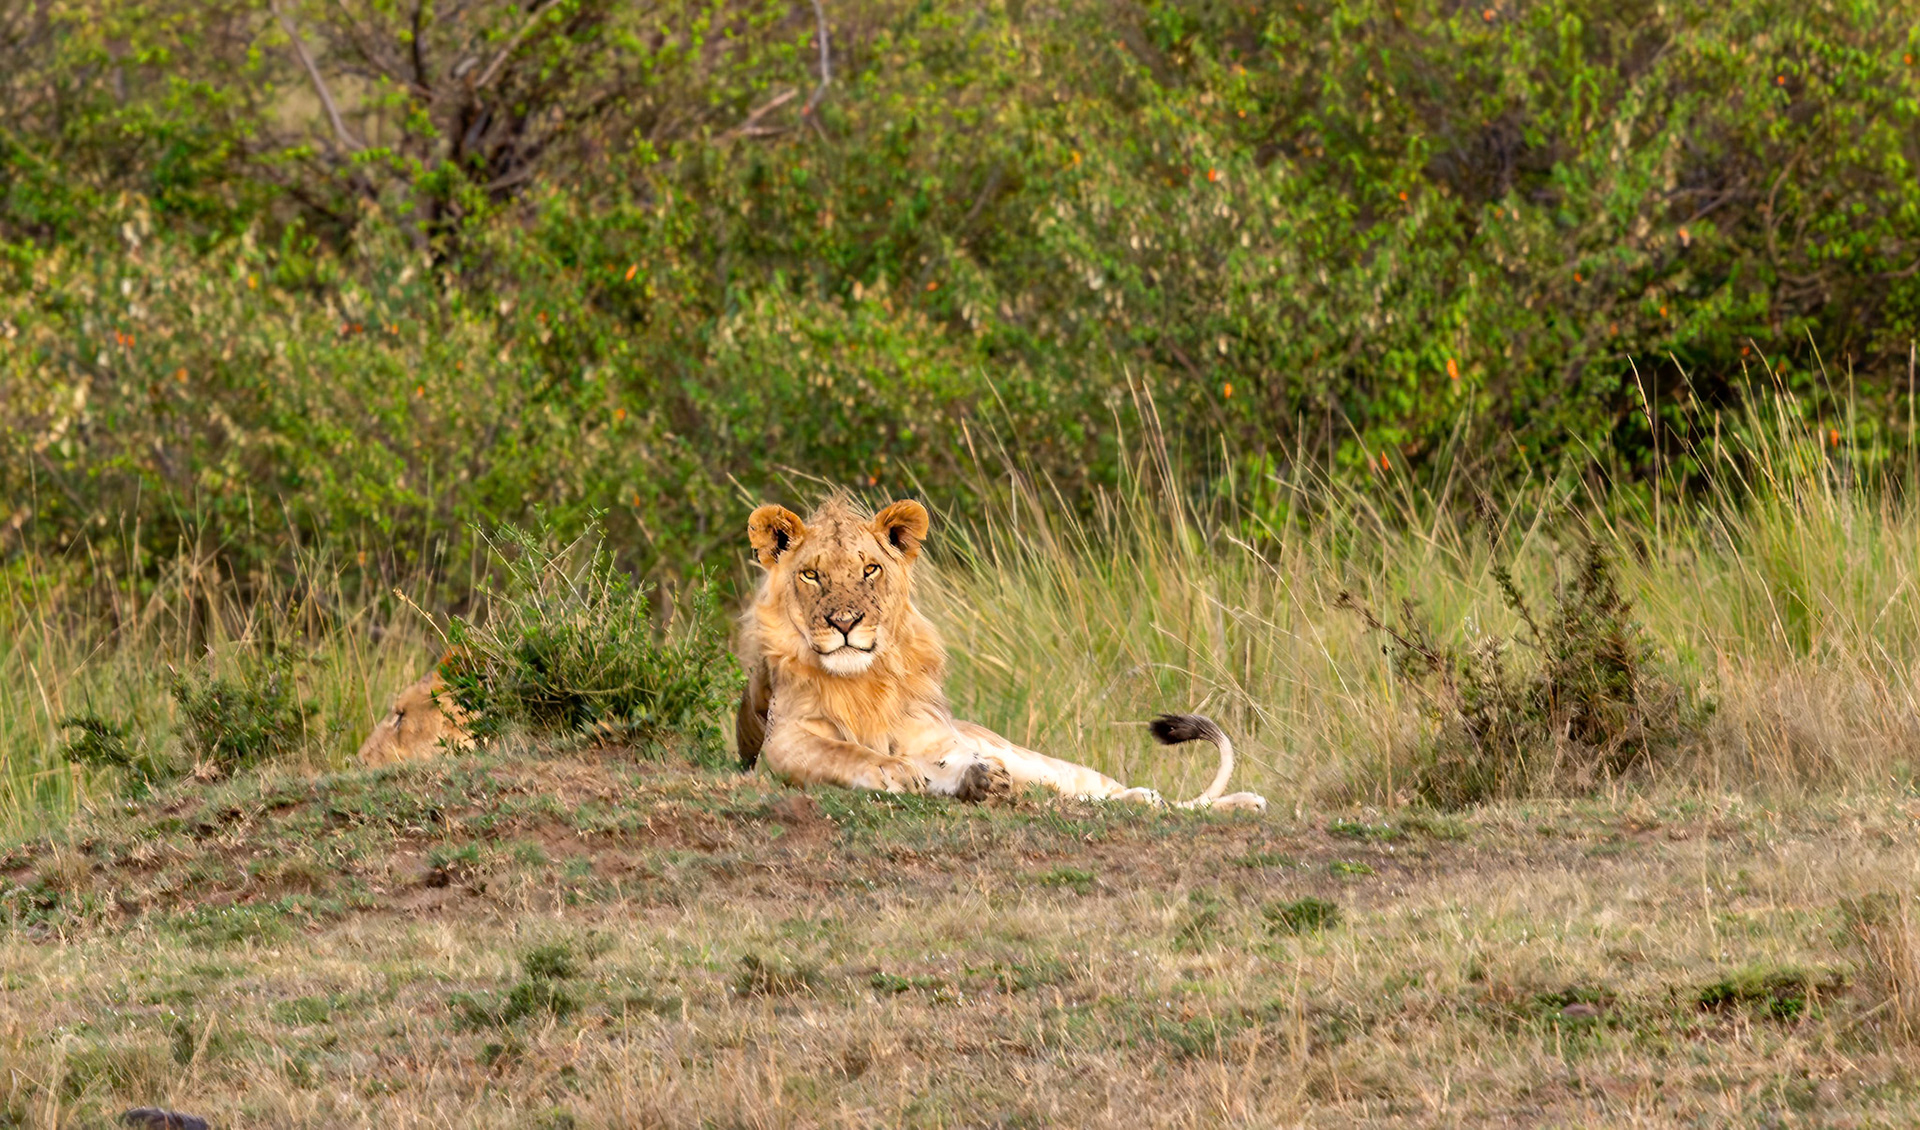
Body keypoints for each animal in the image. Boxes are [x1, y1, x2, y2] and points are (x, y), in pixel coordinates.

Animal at [734, 495, 1267, 811]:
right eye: (811, 575)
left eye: (870, 569)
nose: (844, 623)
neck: (864, 681)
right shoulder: (779, 743)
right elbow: (844, 752)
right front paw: (899, 771)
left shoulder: (936, 738)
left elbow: (946, 761)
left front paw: (978, 777)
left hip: (1037, 758)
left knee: (1117, 793)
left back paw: (1231, 801)